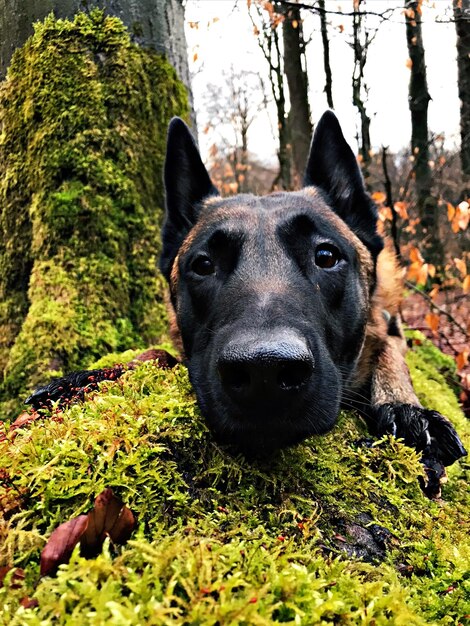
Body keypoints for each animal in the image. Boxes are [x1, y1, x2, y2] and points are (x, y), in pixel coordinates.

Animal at [26, 111, 466, 492]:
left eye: (325, 256)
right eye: (203, 264)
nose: (264, 372)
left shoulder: (386, 327)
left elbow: (390, 351)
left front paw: (407, 408)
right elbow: (156, 352)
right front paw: (93, 376)